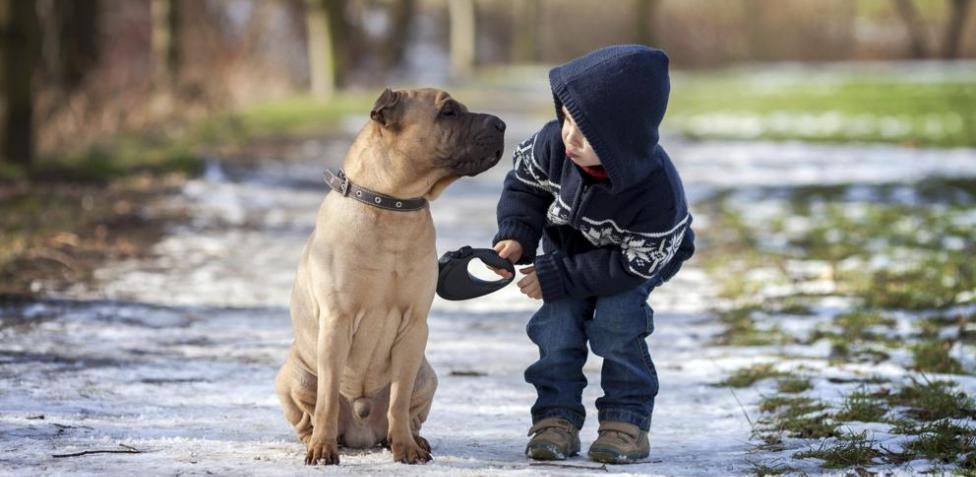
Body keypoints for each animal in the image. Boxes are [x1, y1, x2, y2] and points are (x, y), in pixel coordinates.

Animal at [272, 87, 504, 462]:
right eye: (449, 112)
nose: (501, 124)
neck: (393, 205)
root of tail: (362, 430)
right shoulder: (336, 321)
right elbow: (326, 400)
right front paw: (322, 448)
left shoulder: (414, 326)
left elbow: (399, 398)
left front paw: (406, 448)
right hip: (295, 376)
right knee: (310, 413)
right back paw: (316, 440)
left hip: (427, 375)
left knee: (408, 411)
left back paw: (412, 439)